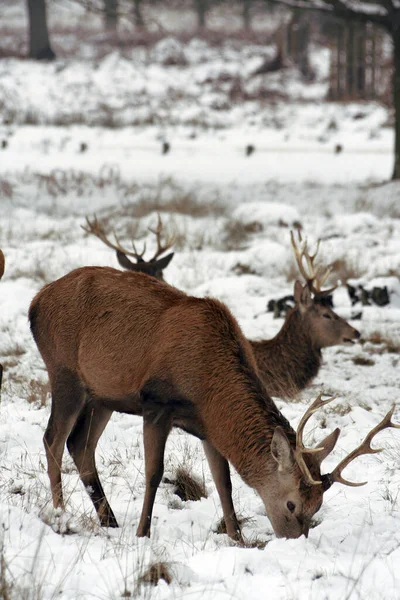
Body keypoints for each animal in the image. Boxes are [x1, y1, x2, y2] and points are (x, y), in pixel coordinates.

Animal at [27, 264, 396, 540]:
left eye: (318, 505)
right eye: (292, 504)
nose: (296, 541)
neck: (207, 386)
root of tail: (35, 302)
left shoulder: (209, 427)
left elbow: (225, 483)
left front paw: (237, 538)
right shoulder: (156, 402)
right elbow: (154, 473)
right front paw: (143, 534)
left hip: (103, 394)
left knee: (80, 445)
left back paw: (110, 520)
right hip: (63, 371)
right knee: (52, 440)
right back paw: (60, 514)